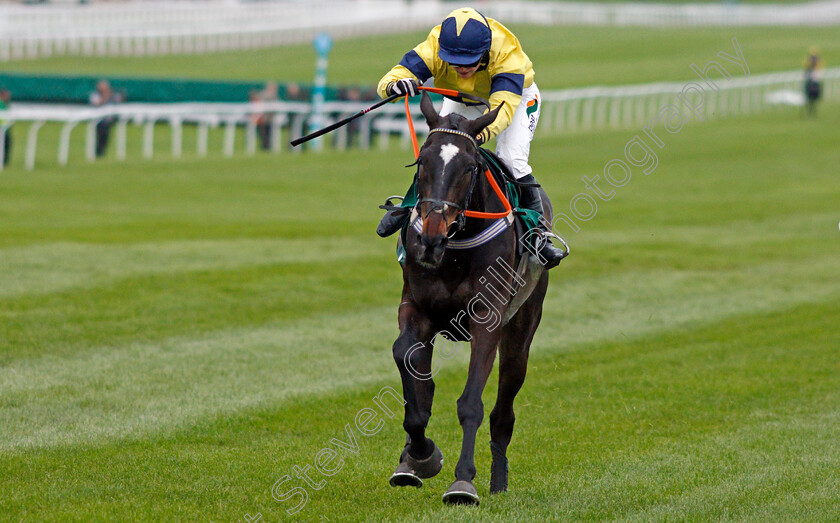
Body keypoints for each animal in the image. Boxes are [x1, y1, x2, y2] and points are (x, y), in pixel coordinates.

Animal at [388, 92, 552, 506]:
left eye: (468, 167)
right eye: (422, 162)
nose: (430, 239)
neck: (455, 249)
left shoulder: (487, 320)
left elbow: (471, 404)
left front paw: (463, 482)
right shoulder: (416, 307)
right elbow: (407, 364)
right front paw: (420, 456)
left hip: (522, 330)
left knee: (503, 412)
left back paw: (498, 480)